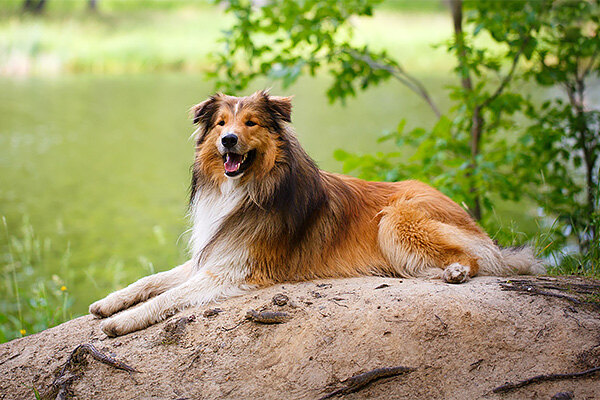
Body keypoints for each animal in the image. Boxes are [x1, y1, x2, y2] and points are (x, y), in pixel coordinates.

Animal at [89, 91, 544, 338]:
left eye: (250, 123)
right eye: (220, 123)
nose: (229, 140)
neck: (247, 189)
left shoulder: (236, 270)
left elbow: (169, 296)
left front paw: (122, 321)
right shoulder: (214, 254)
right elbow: (152, 281)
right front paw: (110, 303)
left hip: (395, 220)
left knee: (473, 259)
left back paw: (455, 271)